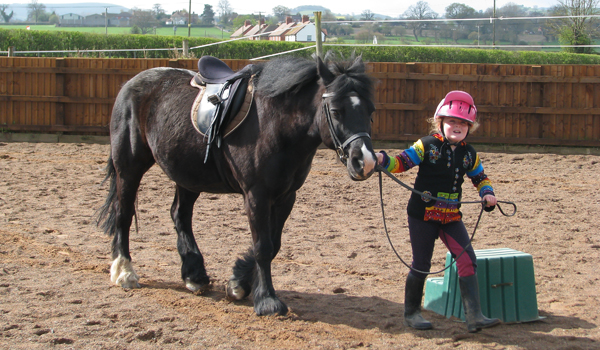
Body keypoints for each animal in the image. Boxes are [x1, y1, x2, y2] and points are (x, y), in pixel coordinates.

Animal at [99, 54, 378, 314]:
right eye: (336, 111)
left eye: (370, 111)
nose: (365, 161)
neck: (275, 124)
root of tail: (131, 84)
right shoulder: (256, 195)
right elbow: (263, 246)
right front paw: (267, 300)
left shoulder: (286, 196)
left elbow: (273, 244)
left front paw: (239, 282)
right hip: (129, 167)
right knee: (123, 213)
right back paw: (124, 271)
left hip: (188, 175)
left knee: (180, 215)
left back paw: (194, 275)